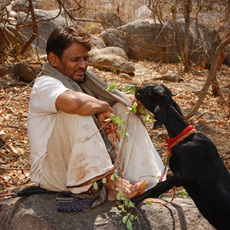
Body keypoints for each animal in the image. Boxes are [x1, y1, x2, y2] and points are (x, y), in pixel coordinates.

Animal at [133, 84, 230, 230]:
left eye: (150, 93)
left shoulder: (184, 176)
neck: (184, 137)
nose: (137, 89)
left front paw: (132, 199)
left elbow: (158, 187)